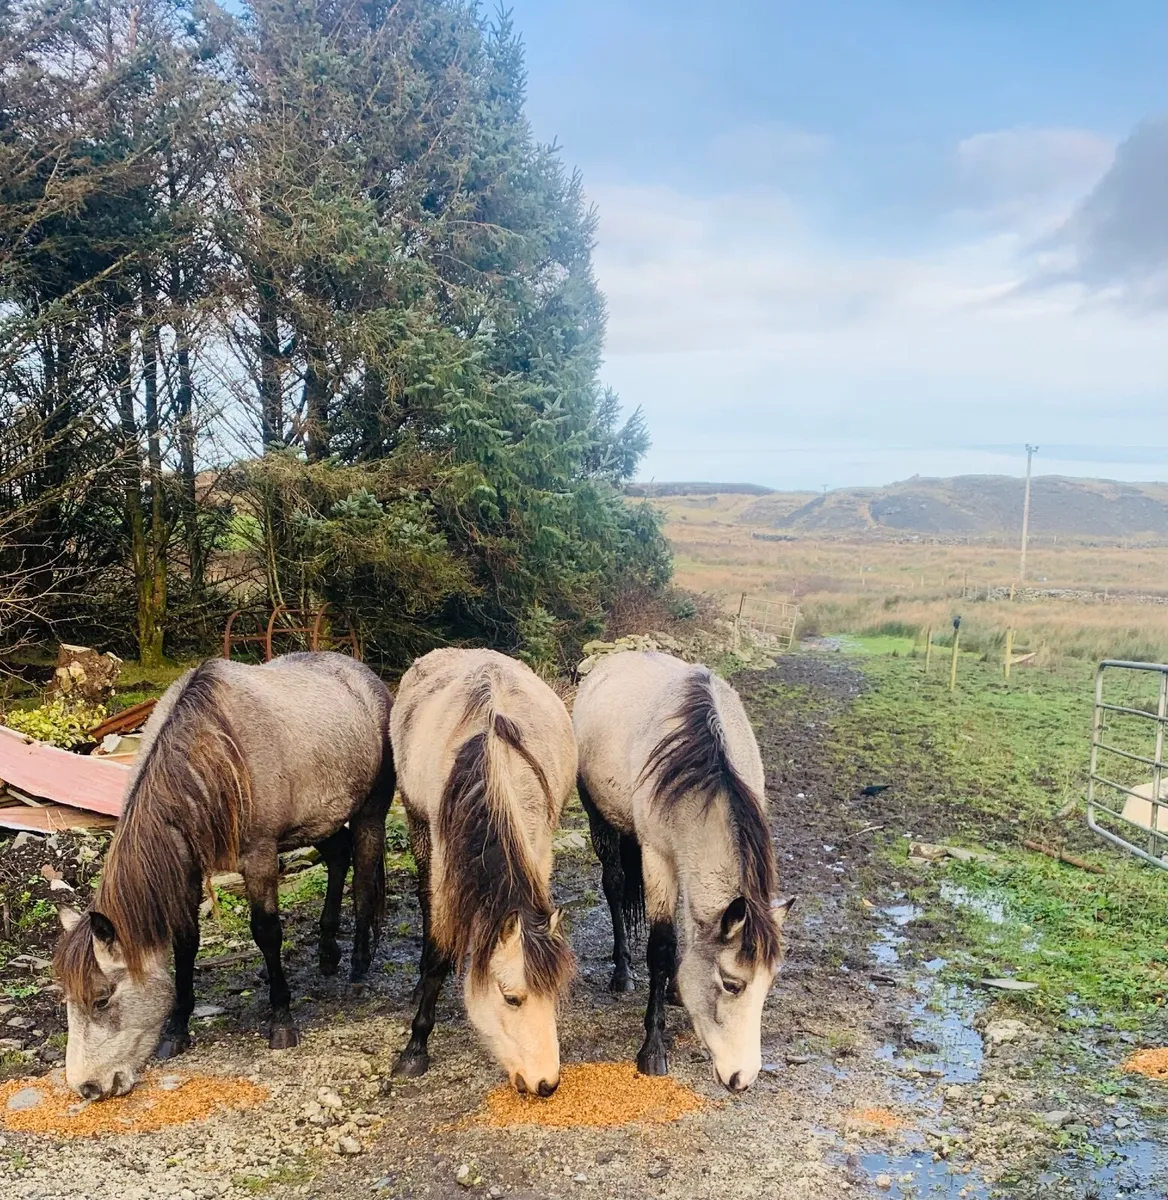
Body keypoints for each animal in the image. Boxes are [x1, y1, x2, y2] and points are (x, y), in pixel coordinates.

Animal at [53, 651, 394, 1100]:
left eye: (102, 999)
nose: (87, 1087)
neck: (207, 752)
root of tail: (368, 678)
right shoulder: (187, 867)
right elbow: (185, 943)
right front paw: (177, 1029)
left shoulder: (260, 857)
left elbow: (267, 932)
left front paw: (281, 1020)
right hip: (318, 823)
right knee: (338, 858)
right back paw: (326, 953)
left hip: (370, 814)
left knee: (363, 881)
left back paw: (357, 970)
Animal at [389, 648, 576, 1096]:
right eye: (511, 997)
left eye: (556, 993)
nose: (547, 1083)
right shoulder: (444, 867)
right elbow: (438, 953)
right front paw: (415, 1048)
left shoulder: (539, 850)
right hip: (417, 826)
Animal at [573, 650, 794, 1092]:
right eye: (731, 983)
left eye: (770, 983)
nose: (742, 1078)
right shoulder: (657, 857)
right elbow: (660, 945)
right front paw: (653, 1049)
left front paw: (676, 989)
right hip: (600, 819)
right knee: (615, 886)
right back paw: (622, 972)